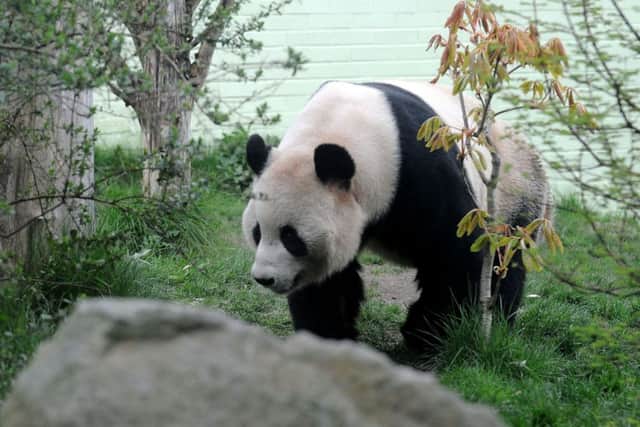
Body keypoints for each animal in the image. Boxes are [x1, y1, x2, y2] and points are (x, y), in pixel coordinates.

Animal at [242, 80, 551, 351]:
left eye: (291, 238)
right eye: (257, 232)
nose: (264, 278)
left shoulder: (422, 166)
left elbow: (456, 255)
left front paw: (427, 332)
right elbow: (328, 282)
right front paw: (329, 337)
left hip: (516, 192)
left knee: (504, 259)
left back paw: (495, 322)